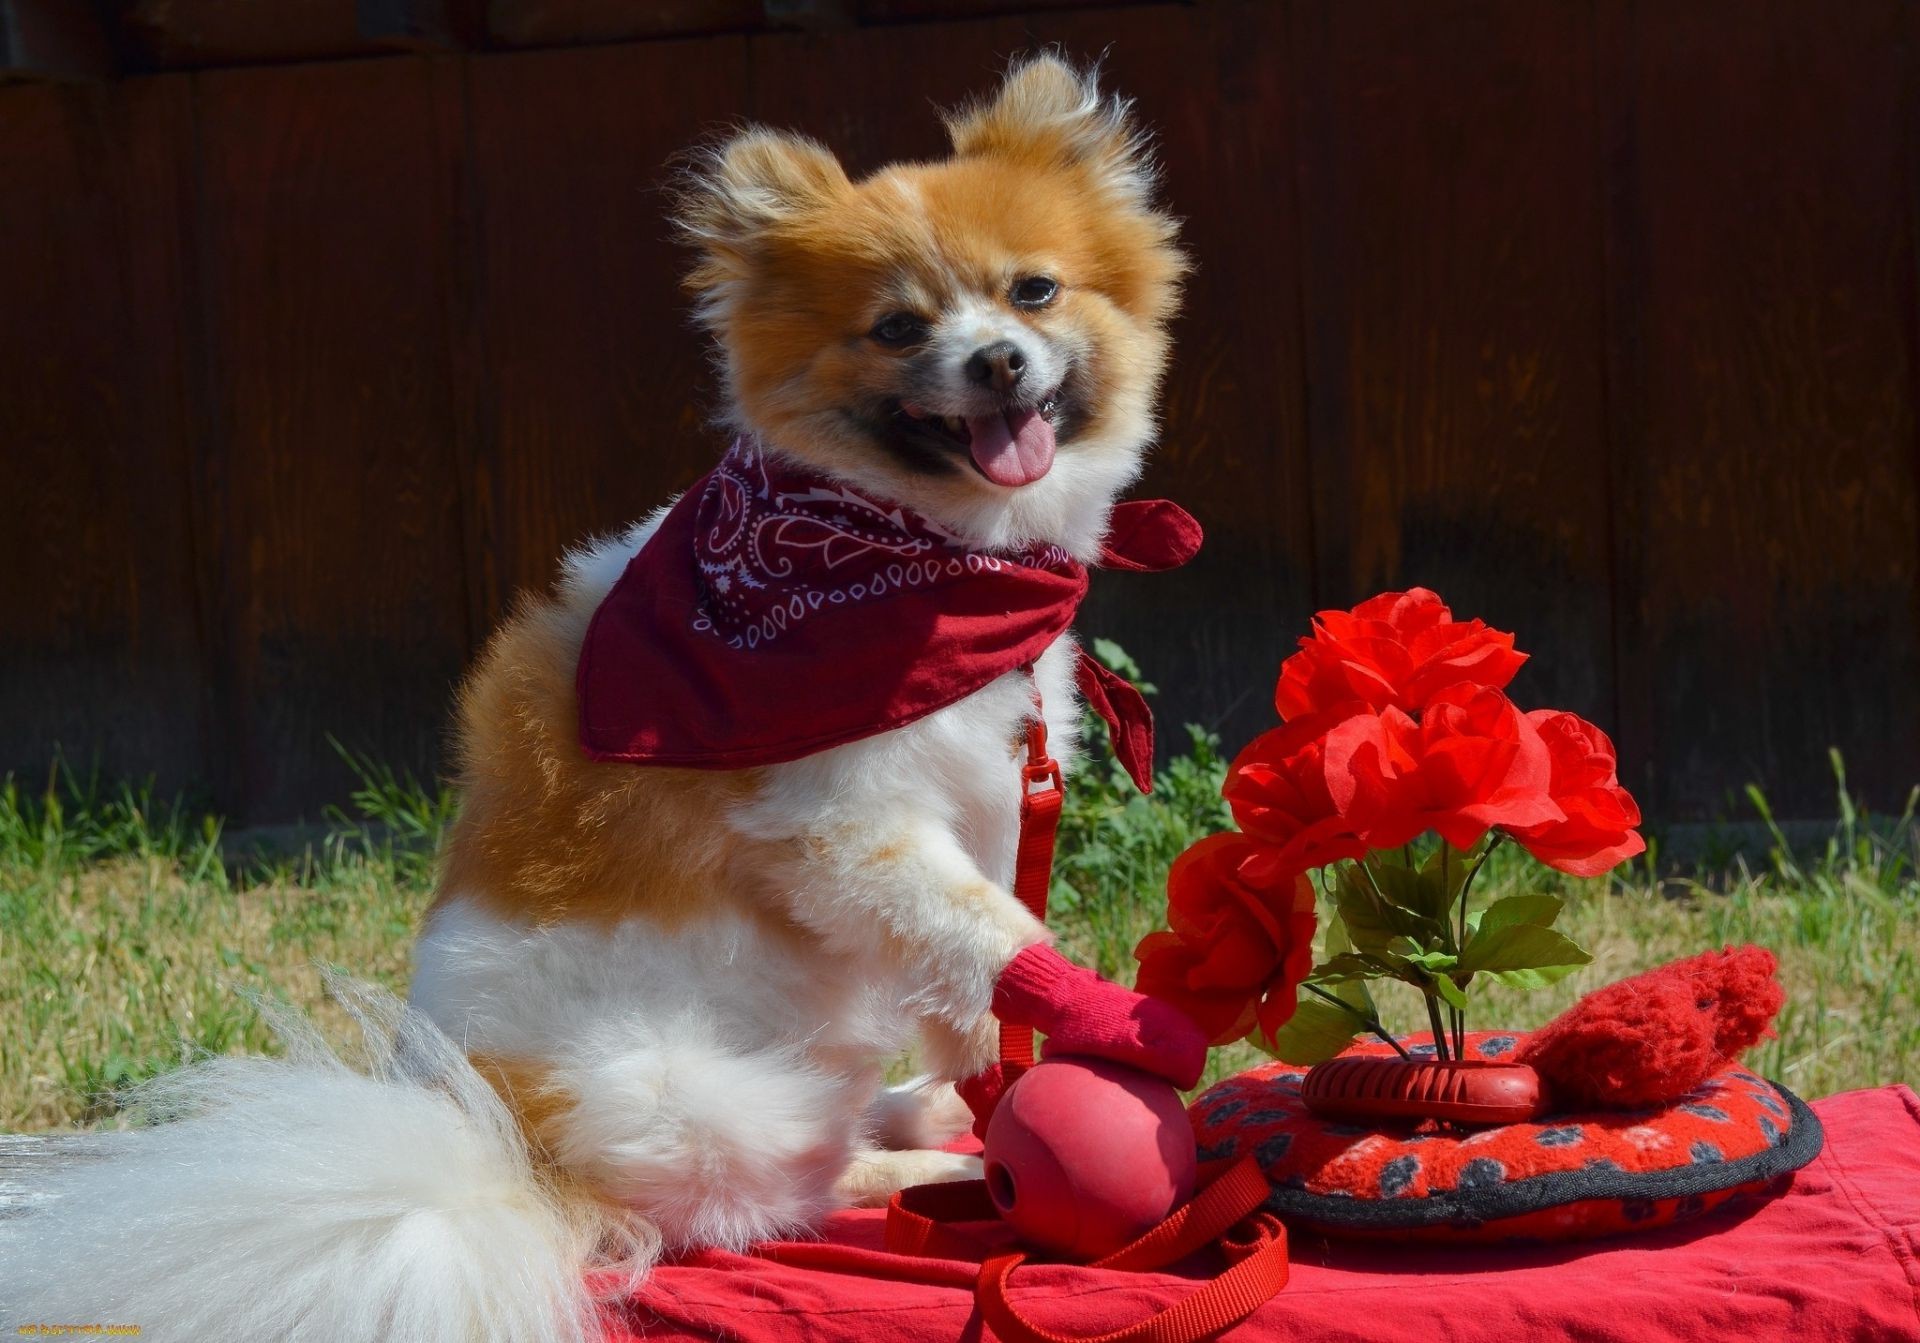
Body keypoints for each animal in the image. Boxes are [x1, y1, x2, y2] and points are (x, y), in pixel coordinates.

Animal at [0, 52, 1198, 1343]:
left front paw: (998, 1071)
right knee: (766, 1197)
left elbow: (965, 967)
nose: (996, 360)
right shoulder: (848, 827)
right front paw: (1095, 1025)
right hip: (712, 1099)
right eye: (896, 327)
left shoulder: (988, 797)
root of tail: (503, 1162)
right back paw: (916, 1163)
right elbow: (993, 933)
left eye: (1034, 292)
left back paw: (919, 1116)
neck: (928, 560)